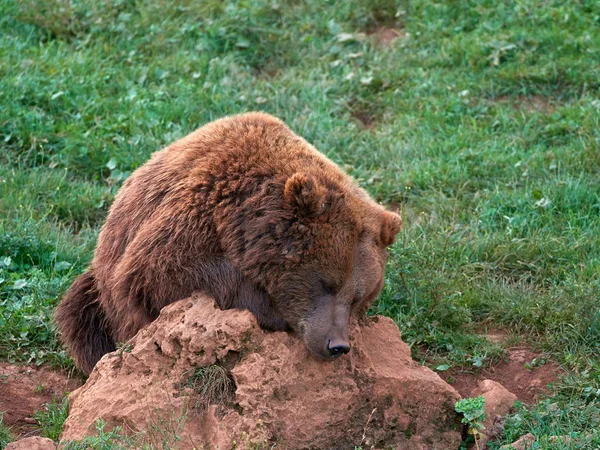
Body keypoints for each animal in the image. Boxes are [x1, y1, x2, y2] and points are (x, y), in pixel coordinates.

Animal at [56, 111, 400, 372]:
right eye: (325, 283)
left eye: (358, 297)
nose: (337, 344)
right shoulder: (194, 215)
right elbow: (160, 274)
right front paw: (270, 309)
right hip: (102, 288)